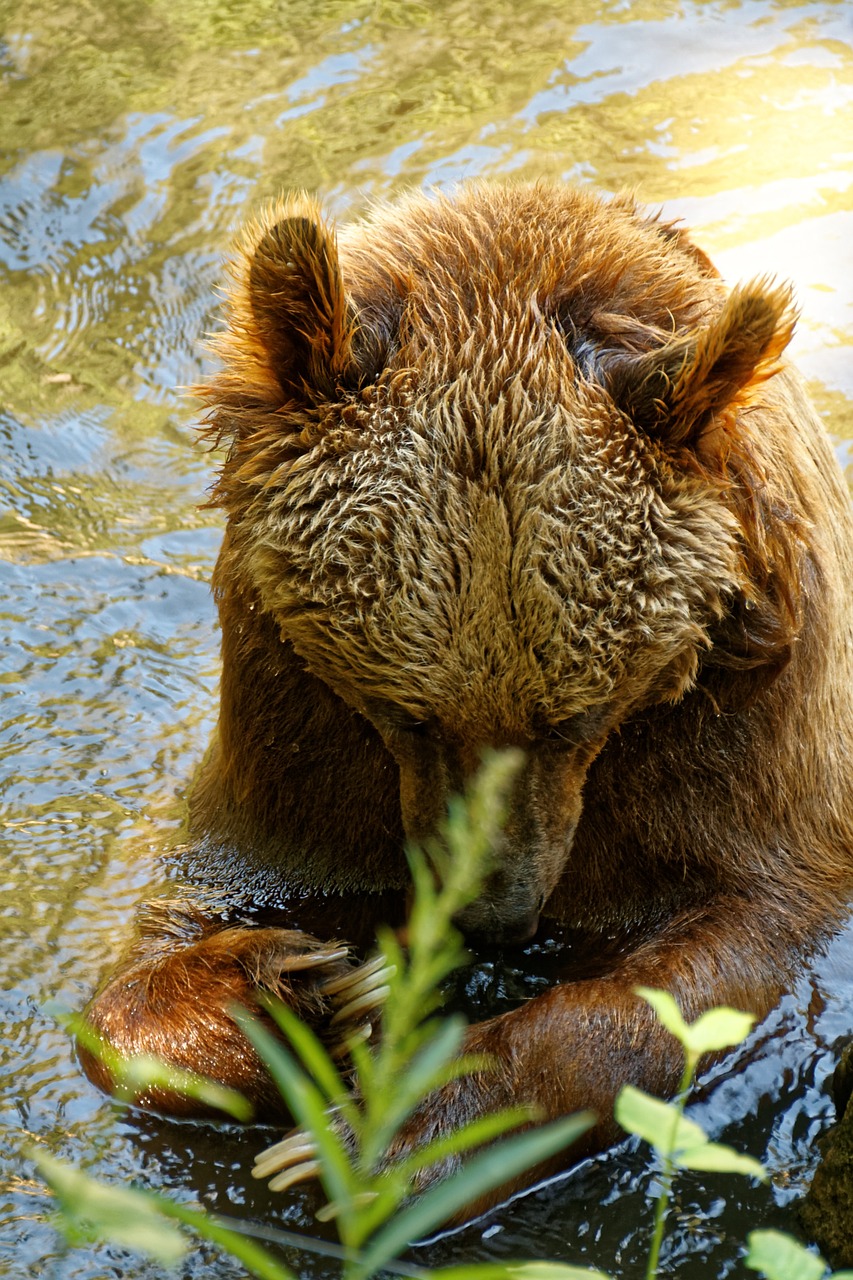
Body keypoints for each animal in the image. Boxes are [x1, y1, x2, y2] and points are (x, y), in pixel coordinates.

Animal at [83, 180, 850, 1208]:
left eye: (575, 718)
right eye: (411, 712)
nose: (495, 918)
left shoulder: (742, 746)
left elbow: (709, 965)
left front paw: (395, 1134)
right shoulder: (291, 738)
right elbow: (172, 925)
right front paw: (303, 990)